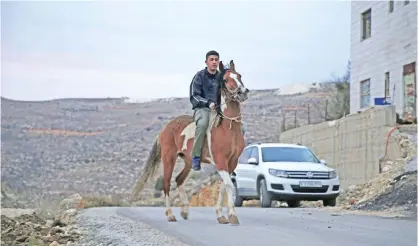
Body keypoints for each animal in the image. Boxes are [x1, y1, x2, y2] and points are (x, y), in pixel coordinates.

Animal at [131, 60, 248, 225]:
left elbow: (223, 186)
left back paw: (185, 211)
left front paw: (221, 215)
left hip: (188, 161)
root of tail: (165, 128)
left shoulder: (232, 162)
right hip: (169, 159)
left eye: (239, 76)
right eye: (226, 79)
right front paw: (231, 215)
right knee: (167, 184)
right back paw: (170, 214)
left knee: (179, 179)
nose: (243, 92)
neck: (227, 127)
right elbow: (228, 185)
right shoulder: (220, 161)